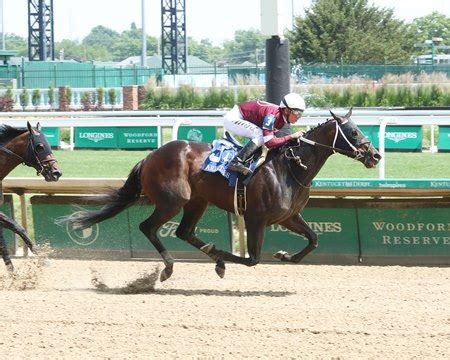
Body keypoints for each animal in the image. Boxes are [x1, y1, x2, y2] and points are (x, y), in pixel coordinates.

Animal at [63, 109, 380, 282]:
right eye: (353, 131)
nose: (375, 155)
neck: (291, 168)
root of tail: (150, 156)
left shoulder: (289, 216)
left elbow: (313, 240)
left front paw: (285, 255)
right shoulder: (256, 218)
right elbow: (252, 259)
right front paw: (222, 260)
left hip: (197, 201)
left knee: (184, 232)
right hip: (172, 201)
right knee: (148, 227)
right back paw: (169, 266)